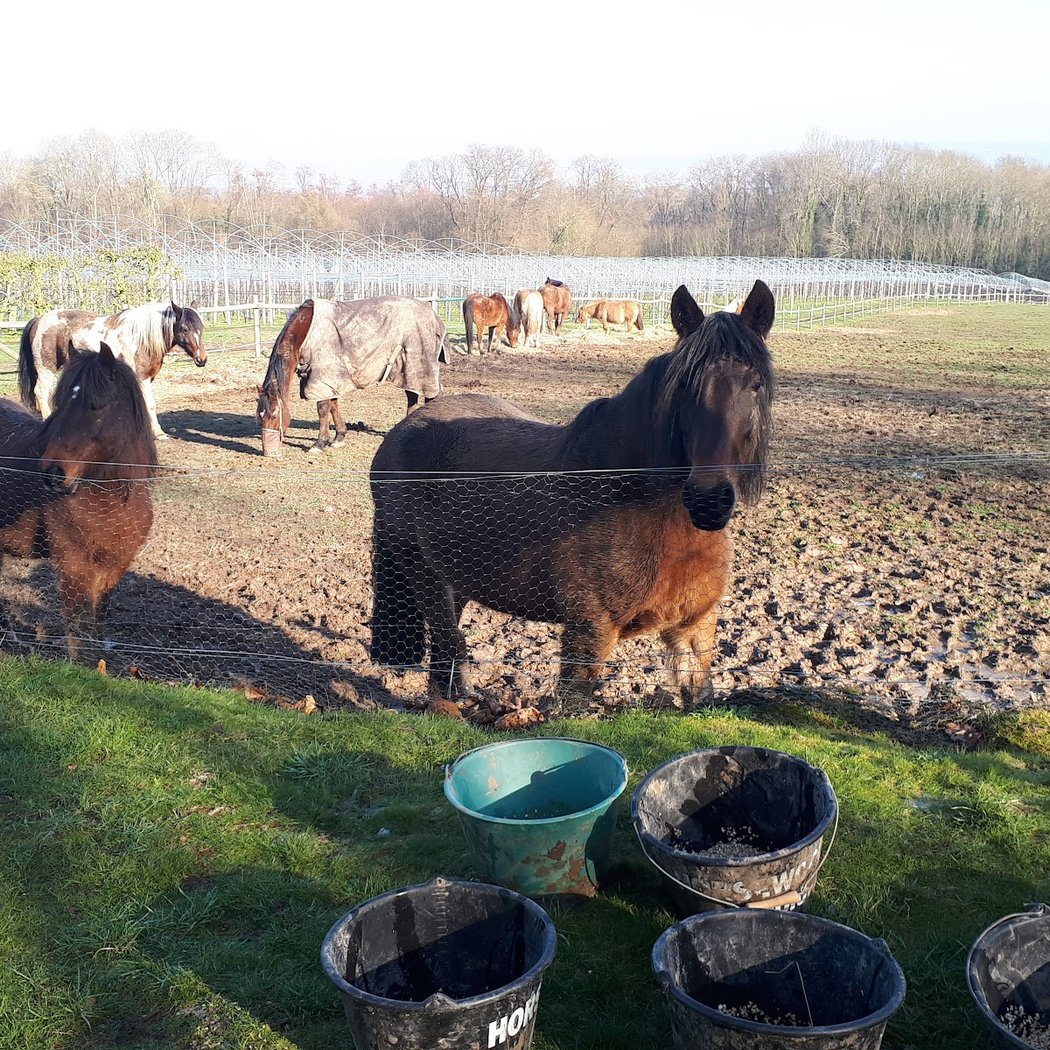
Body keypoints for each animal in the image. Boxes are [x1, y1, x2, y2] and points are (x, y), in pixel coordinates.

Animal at [0, 344, 157, 661]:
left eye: (95, 406)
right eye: (60, 404)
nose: (51, 472)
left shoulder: (115, 565)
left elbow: (97, 617)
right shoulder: (75, 564)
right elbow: (78, 621)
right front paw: (78, 663)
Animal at [18, 301, 206, 440]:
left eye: (202, 328)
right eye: (184, 329)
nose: (202, 359)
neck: (141, 338)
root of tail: (39, 319)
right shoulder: (142, 378)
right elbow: (150, 405)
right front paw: (158, 434)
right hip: (46, 368)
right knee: (41, 392)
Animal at [257, 296, 448, 457]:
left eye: (274, 415)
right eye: (260, 416)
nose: (268, 453)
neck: (306, 332)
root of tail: (432, 314)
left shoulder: (322, 375)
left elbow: (323, 408)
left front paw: (319, 443)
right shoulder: (331, 380)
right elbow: (333, 406)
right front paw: (338, 438)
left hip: (421, 367)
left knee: (430, 396)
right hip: (407, 371)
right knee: (412, 397)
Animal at [369, 279, 775, 706]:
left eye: (755, 386)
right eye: (684, 389)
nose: (708, 501)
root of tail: (401, 432)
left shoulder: (695, 628)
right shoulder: (589, 631)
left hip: (456, 576)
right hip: (422, 573)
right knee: (450, 640)